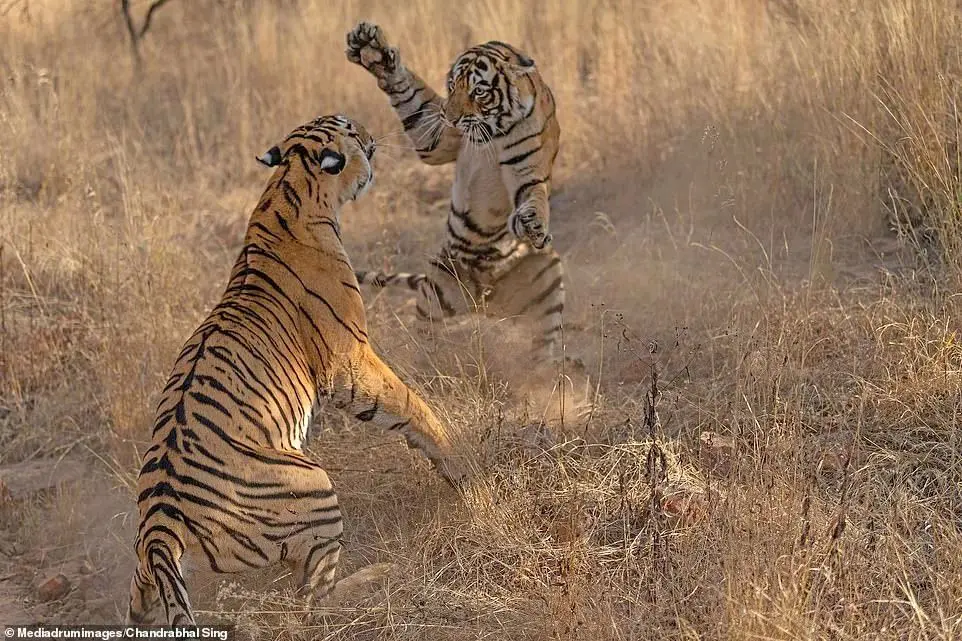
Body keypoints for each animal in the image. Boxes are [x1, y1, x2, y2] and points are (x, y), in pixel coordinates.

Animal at [124, 114, 468, 624]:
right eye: (351, 128)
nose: (373, 134)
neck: (287, 188)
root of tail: (158, 528)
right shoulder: (350, 363)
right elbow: (408, 403)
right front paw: (457, 458)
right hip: (314, 485)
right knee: (310, 603)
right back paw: (376, 577)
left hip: (145, 576)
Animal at [344, 22, 568, 362]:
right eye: (451, 86)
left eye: (479, 91)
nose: (450, 116)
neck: (494, 130)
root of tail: (486, 303)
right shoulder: (437, 140)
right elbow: (415, 103)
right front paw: (375, 52)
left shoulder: (528, 171)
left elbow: (533, 195)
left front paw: (532, 223)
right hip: (438, 291)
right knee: (428, 338)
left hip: (549, 278)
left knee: (541, 347)